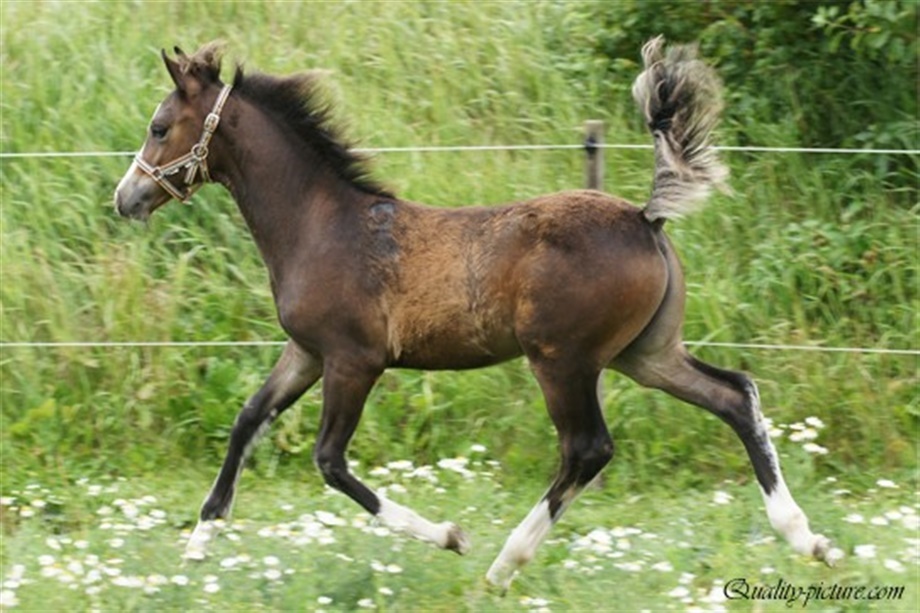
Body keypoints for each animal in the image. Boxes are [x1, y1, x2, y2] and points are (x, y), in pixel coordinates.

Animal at [114, 37, 841, 590]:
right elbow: (246, 422)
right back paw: (808, 539)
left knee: (589, 447)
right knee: (734, 395)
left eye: (158, 127)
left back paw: (502, 564)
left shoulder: (354, 361)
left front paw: (448, 535)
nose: (125, 199)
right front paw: (198, 545)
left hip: (563, 360)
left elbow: (330, 462)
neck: (320, 225)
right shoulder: (307, 352)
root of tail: (645, 218)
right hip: (647, 354)